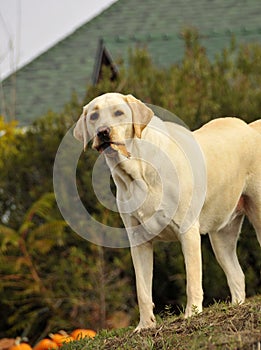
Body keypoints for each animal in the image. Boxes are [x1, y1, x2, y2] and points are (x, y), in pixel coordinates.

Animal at [73, 92, 260, 330]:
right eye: (94, 116)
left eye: (119, 112)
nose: (103, 132)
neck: (137, 172)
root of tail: (251, 127)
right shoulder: (138, 241)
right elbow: (142, 289)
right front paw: (145, 326)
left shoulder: (187, 232)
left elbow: (192, 280)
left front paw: (191, 315)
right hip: (221, 235)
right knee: (237, 276)